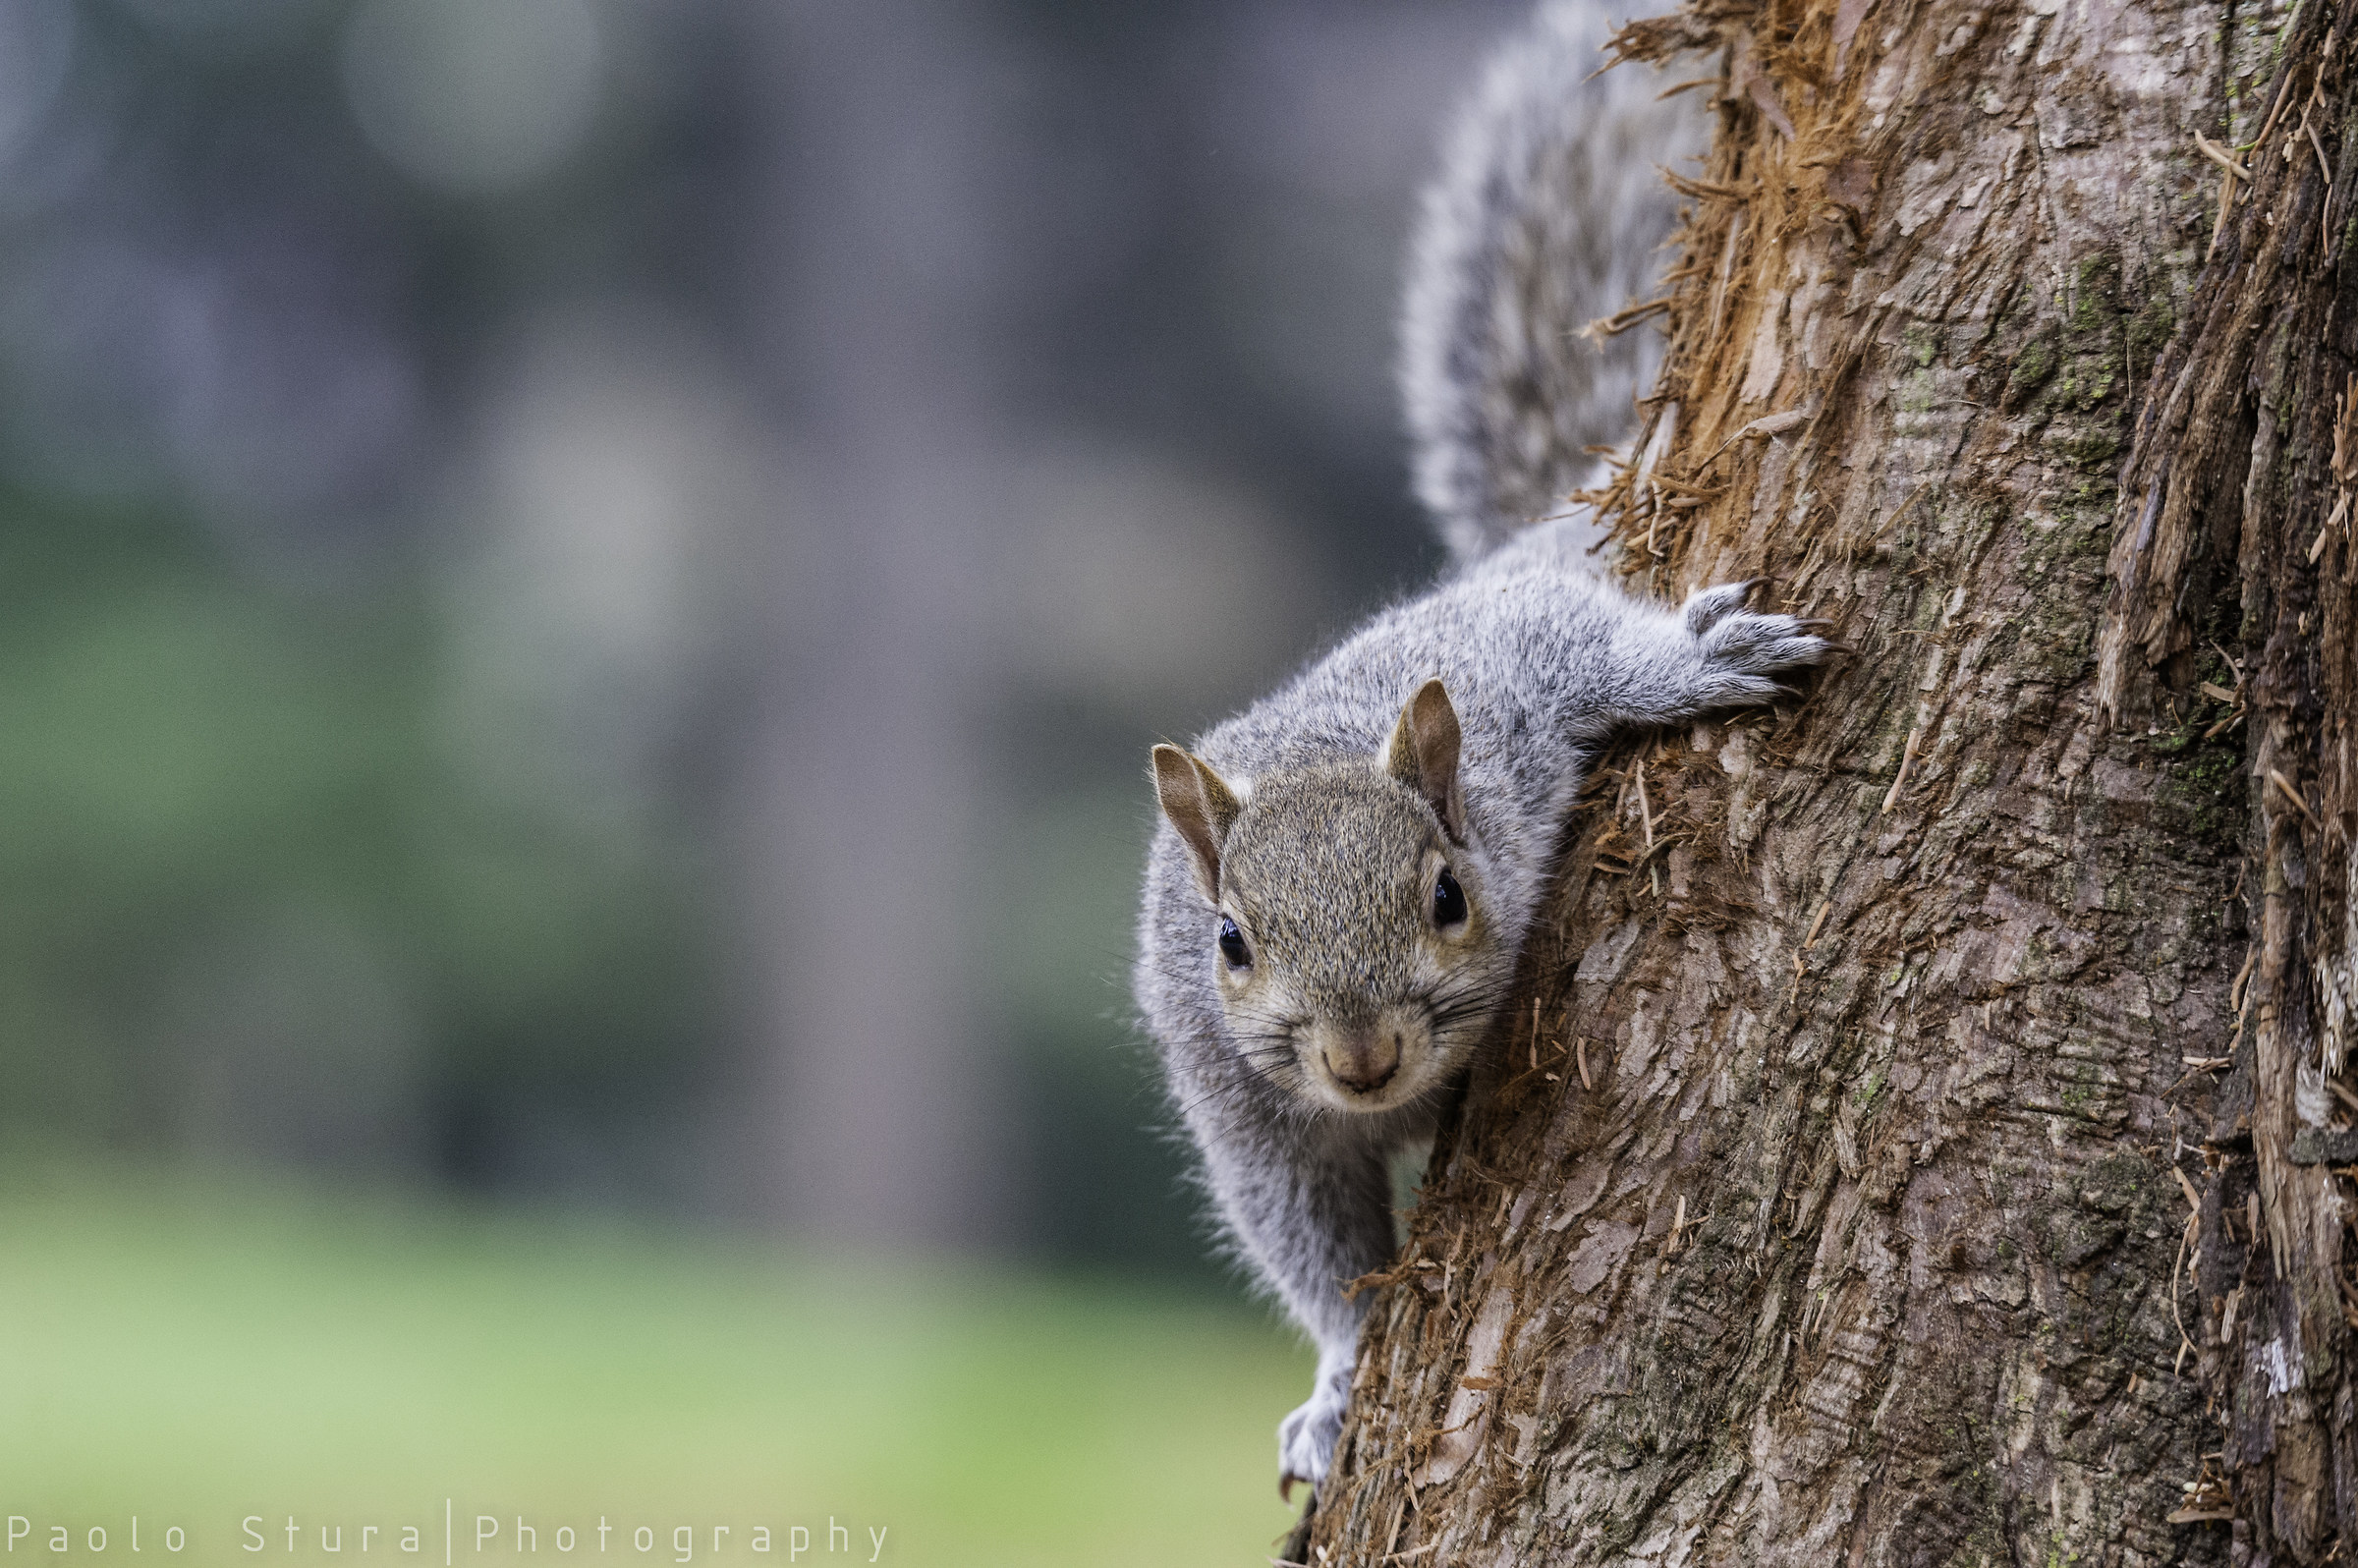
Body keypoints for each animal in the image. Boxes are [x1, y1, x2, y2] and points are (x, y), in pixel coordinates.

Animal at [1132, 0, 1830, 1497]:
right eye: (1229, 942)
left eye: (1448, 896)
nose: (1361, 1062)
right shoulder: (1243, 1105)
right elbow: (1312, 1241)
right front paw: (1340, 1385)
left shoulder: (1513, 671)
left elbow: (1590, 646)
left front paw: (1694, 662)